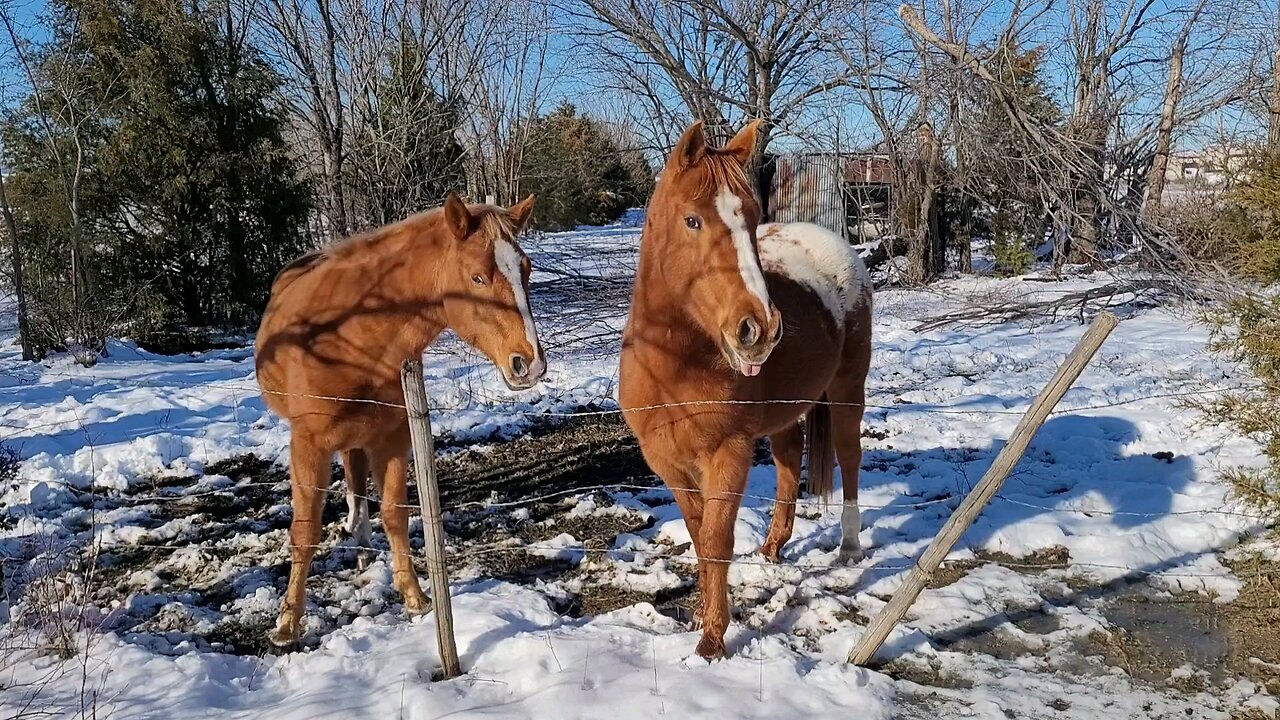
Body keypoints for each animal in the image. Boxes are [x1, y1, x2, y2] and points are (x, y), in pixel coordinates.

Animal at [254, 192, 545, 645]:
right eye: (477, 278)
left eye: (526, 269)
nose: (529, 364)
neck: (349, 337)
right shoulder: (307, 444)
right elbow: (305, 531)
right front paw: (287, 624)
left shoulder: (392, 438)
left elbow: (395, 514)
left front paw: (415, 598)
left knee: (357, 483)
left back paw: (360, 545)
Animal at [616, 121, 875, 655]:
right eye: (692, 221)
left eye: (754, 219)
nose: (760, 329)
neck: (673, 367)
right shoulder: (667, 460)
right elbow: (698, 535)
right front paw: (701, 618)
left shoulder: (728, 453)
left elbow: (717, 540)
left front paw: (712, 640)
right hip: (784, 411)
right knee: (788, 458)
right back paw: (775, 546)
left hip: (847, 392)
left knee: (848, 455)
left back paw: (849, 546)